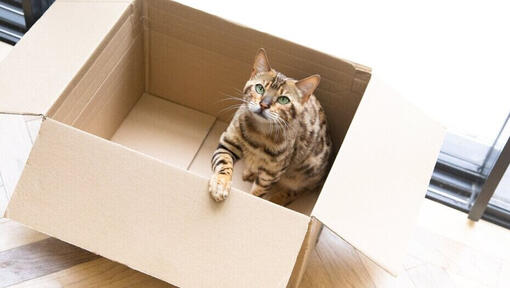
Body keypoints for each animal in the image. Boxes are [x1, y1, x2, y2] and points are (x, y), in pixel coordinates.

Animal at [209, 48, 332, 205]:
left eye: (283, 99)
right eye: (259, 88)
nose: (264, 104)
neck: (259, 132)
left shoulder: (272, 172)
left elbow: (259, 192)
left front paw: (254, 200)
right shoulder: (228, 142)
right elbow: (223, 163)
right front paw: (220, 184)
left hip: (307, 173)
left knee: (298, 191)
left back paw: (278, 198)